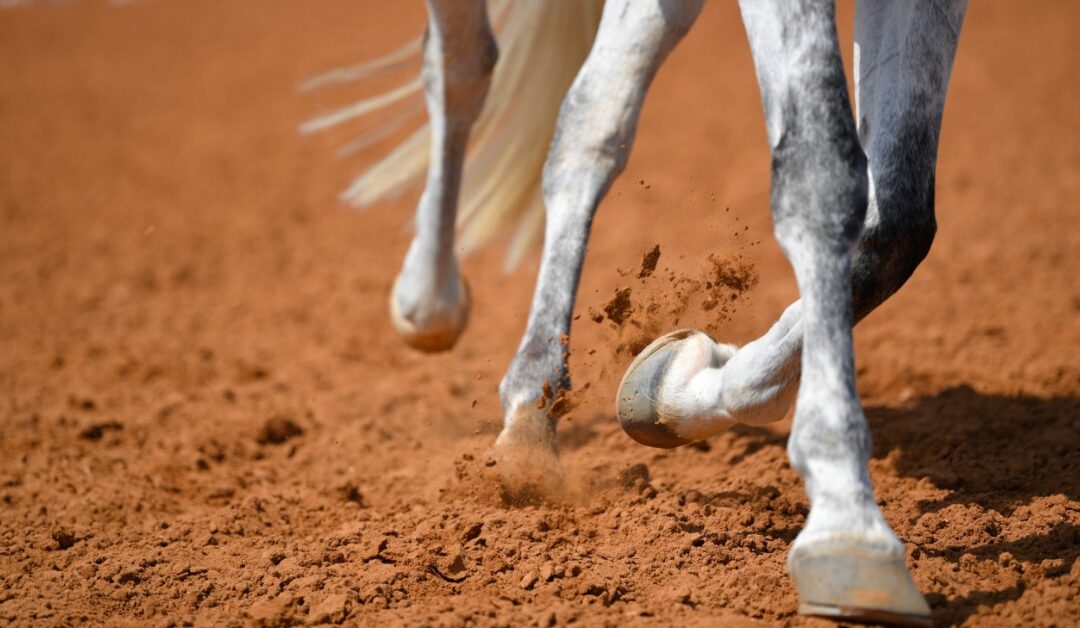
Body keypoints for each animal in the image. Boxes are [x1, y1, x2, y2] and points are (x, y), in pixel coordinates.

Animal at [304, 1, 966, 624]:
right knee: (469, 66)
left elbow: (901, 220)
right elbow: (821, 173)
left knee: (592, 115)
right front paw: (847, 529)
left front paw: (681, 384)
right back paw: (441, 315)